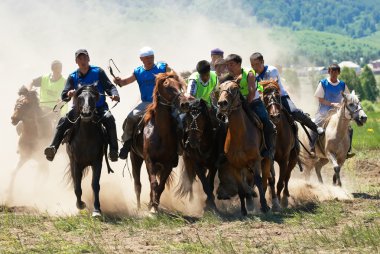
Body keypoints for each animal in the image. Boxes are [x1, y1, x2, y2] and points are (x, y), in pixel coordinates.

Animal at [66, 85, 113, 216]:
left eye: (92, 98)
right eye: (80, 98)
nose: (86, 113)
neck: (85, 138)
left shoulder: (97, 162)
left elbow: (95, 185)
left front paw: (97, 209)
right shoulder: (76, 163)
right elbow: (77, 186)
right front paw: (80, 204)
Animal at [129, 71, 186, 212]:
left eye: (179, 85)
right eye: (167, 85)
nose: (185, 103)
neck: (161, 133)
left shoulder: (168, 164)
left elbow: (161, 186)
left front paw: (154, 205)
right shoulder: (150, 160)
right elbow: (154, 183)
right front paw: (152, 208)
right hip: (135, 157)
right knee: (138, 184)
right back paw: (138, 208)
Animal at [215, 80, 272, 215]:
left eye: (235, 88)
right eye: (219, 88)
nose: (222, 103)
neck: (240, 136)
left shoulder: (255, 160)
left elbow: (258, 181)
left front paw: (264, 206)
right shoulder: (235, 166)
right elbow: (240, 187)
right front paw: (243, 210)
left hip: (266, 161)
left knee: (264, 182)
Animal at [262, 80, 300, 208]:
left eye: (277, 96)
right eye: (265, 98)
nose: (275, 116)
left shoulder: (284, 159)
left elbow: (280, 182)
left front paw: (279, 201)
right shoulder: (269, 158)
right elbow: (271, 180)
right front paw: (273, 201)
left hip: (293, 158)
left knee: (287, 176)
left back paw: (285, 197)